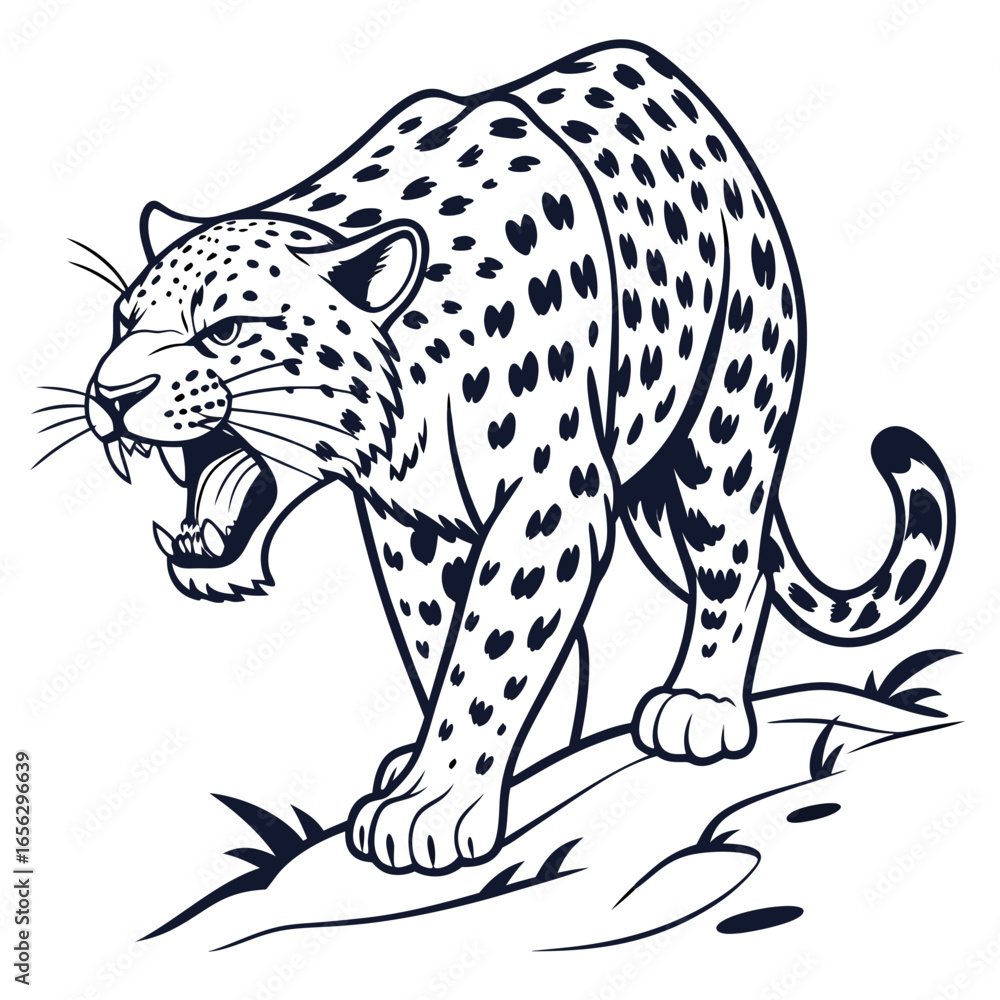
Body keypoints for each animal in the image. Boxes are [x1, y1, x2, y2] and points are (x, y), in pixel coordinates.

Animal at [64, 41, 954, 876]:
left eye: (226, 329)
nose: (110, 392)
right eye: (122, 320)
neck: (412, 406)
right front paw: (477, 770)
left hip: (729, 415)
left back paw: (699, 706)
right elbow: (447, 638)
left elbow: (491, 647)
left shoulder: (549, 501)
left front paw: (430, 806)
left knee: (735, 565)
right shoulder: (415, 525)